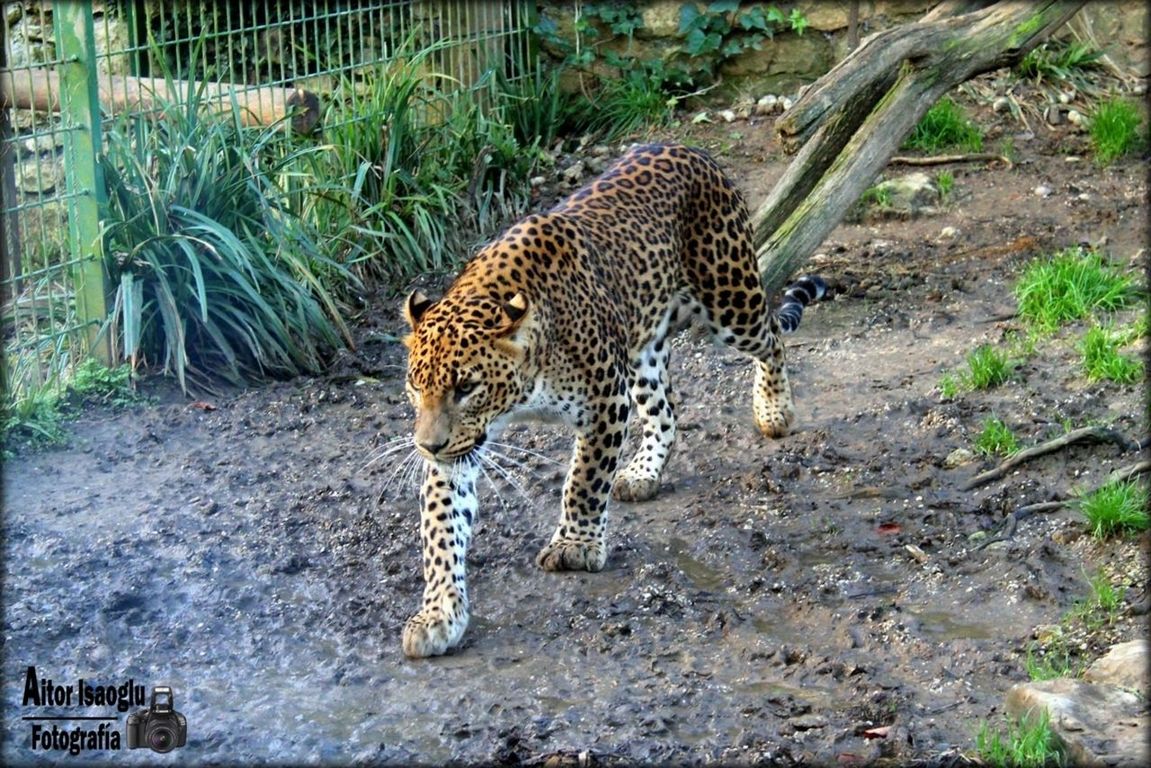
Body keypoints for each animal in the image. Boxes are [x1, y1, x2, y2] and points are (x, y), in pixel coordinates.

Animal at [400, 143, 824, 663]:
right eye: (416, 386)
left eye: (466, 386)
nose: (427, 446)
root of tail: (690, 149)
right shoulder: (461, 448)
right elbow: (442, 529)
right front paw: (439, 614)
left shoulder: (605, 399)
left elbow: (584, 479)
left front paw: (576, 545)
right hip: (642, 348)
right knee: (666, 412)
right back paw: (643, 473)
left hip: (730, 298)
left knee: (772, 339)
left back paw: (774, 410)